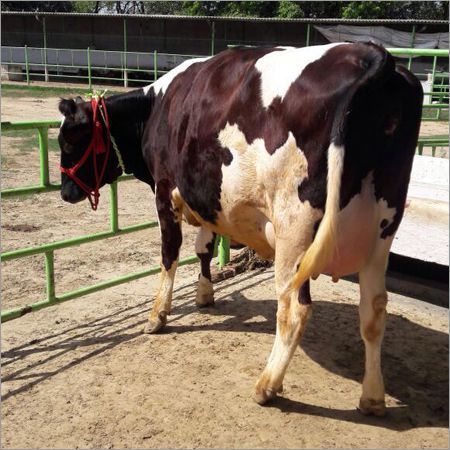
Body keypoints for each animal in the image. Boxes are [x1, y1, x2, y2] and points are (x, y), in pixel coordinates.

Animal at [58, 42, 424, 414]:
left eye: (69, 142)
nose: (64, 192)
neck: (155, 108)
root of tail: (371, 54)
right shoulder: (207, 197)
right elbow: (203, 248)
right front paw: (205, 294)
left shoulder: (166, 191)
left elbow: (169, 255)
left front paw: (157, 315)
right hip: (381, 231)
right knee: (374, 311)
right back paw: (372, 397)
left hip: (294, 227)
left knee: (294, 309)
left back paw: (267, 385)